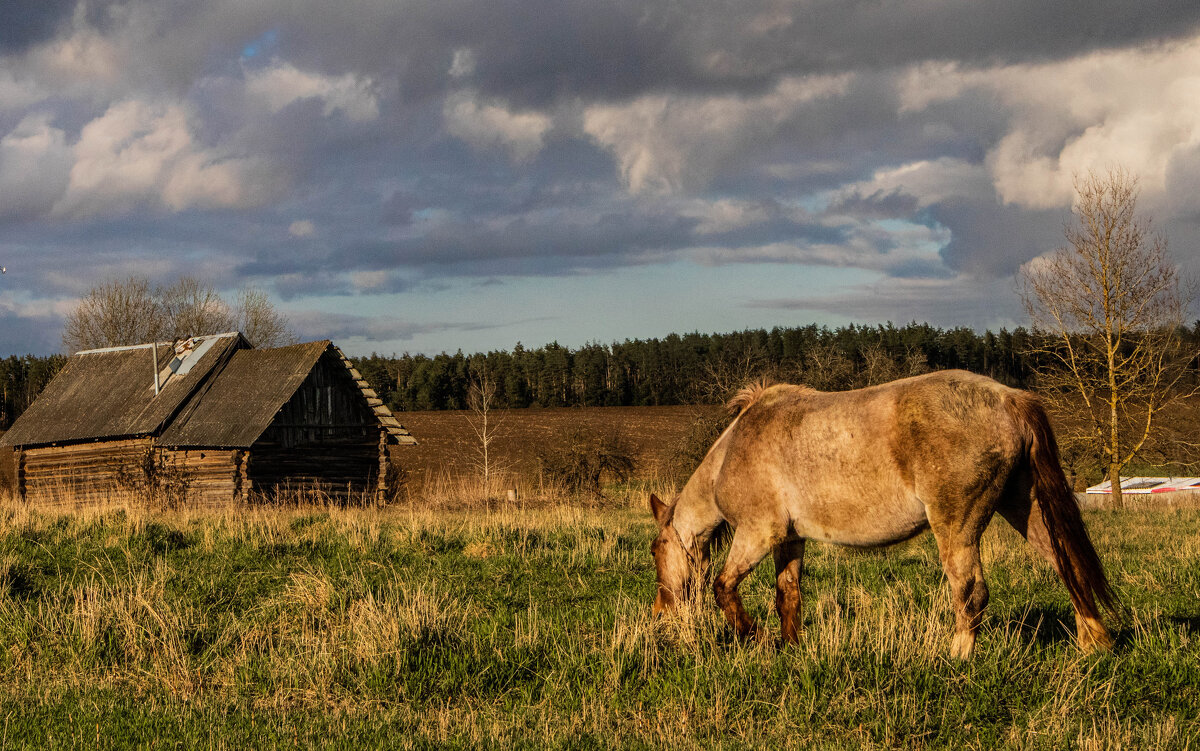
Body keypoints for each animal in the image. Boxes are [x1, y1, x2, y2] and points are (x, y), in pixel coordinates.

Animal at [652, 369, 1118, 652]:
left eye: (655, 551)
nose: (659, 613)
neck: (734, 449)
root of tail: (1008, 399)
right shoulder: (789, 539)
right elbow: (788, 596)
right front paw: (790, 647)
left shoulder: (757, 534)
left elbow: (723, 587)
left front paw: (757, 637)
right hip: (1025, 507)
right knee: (1068, 567)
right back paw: (1094, 644)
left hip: (957, 526)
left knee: (970, 591)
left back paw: (956, 656)